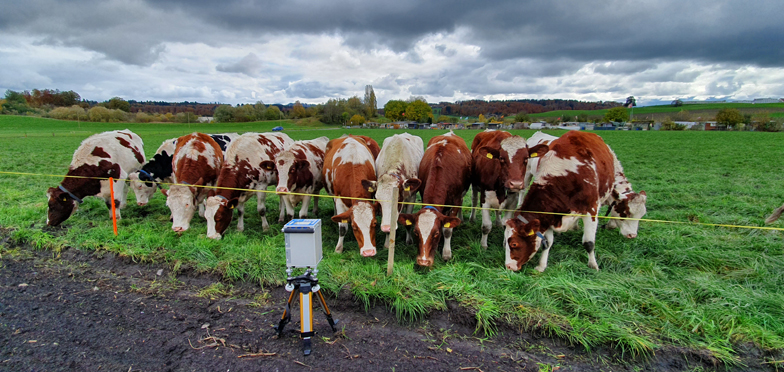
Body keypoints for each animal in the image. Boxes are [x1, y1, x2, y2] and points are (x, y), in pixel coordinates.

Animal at [398, 132, 472, 266]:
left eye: (436, 233)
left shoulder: (456, 200)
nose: (423, 261)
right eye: (416, 233)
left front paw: (446, 253)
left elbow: (447, 229)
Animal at [506, 130, 648, 270]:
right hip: (526, 174)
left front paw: (593, 265)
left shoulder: (591, 209)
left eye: (514, 244)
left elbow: (589, 242)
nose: (632, 235)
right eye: (626, 213)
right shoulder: (550, 214)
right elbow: (548, 243)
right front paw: (541, 266)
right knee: (522, 191)